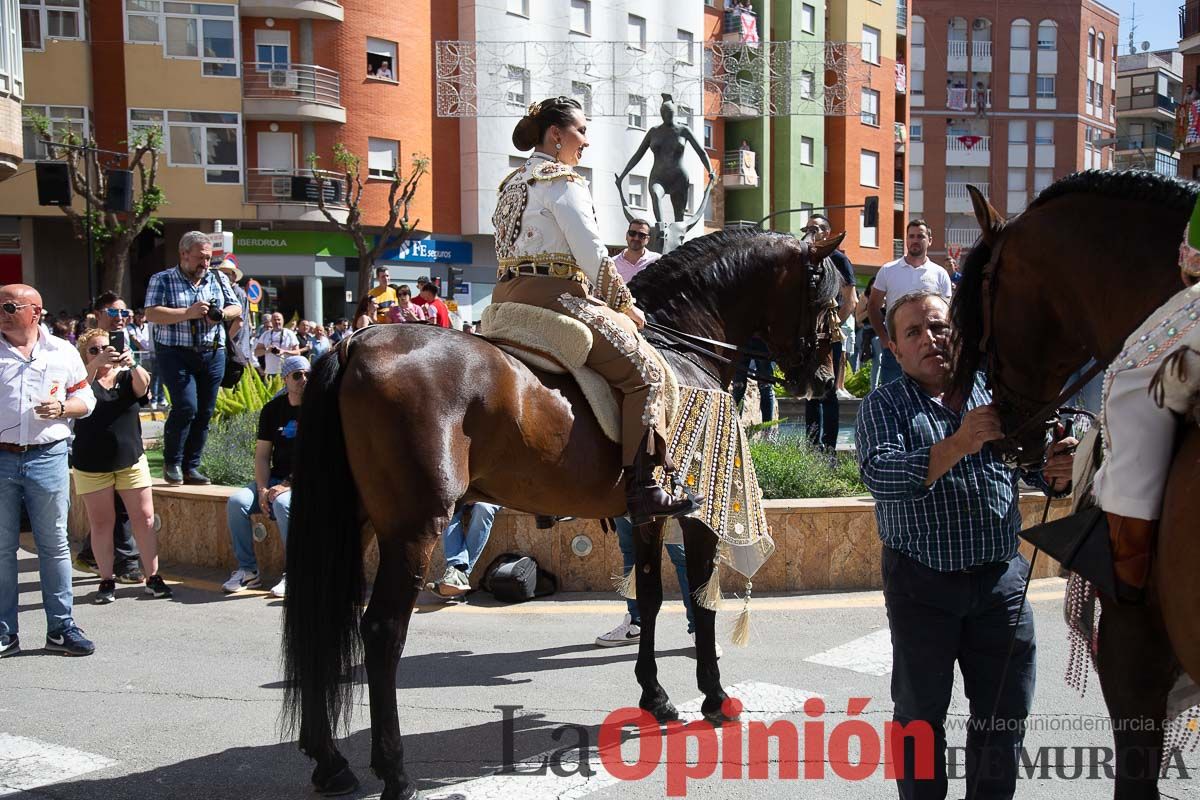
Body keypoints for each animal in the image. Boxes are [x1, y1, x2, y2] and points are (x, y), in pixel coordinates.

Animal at [280, 226, 844, 800]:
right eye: (825, 299)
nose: (824, 380)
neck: (685, 348)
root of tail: (354, 341)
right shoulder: (696, 515)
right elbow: (703, 600)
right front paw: (714, 697)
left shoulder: (646, 516)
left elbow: (649, 598)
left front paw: (656, 697)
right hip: (414, 528)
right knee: (382, 631)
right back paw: (395, 774)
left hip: (354, 522)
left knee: (322, 616)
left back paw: (330, 762)